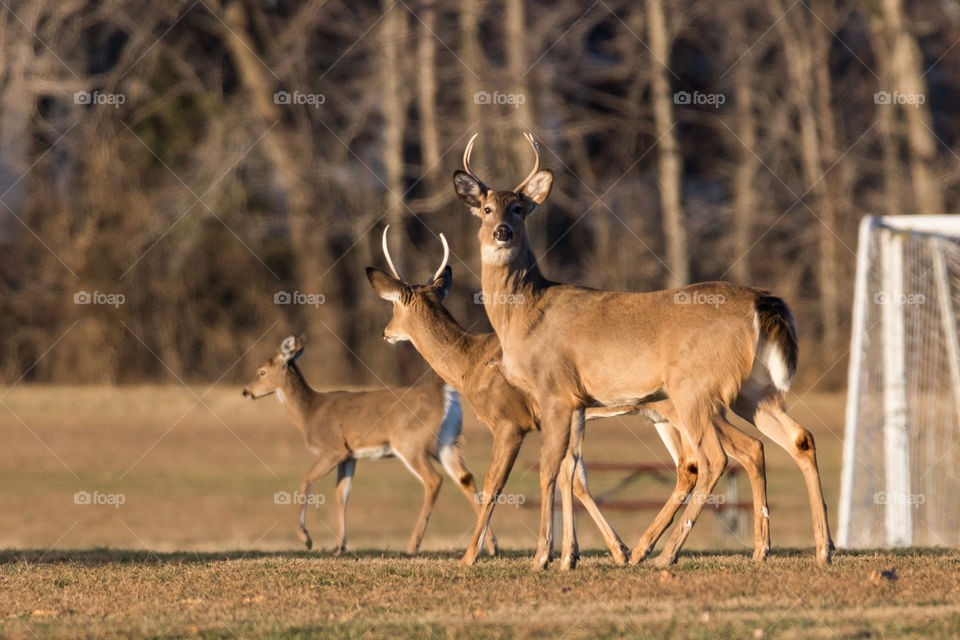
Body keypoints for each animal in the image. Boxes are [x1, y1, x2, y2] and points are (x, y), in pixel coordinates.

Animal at [242, 335, 498, 557]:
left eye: (262, 371)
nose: (246, 391)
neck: (310, 412)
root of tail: (445, 395)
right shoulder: (349, 456)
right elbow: (342, 494)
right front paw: (339, 547)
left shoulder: (333, 448)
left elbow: (307, 481)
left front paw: (306, 538)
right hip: (446, 442)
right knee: (466, 478)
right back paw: (491, 546)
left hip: (410, 444)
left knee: (434, 480)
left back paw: (412, 546)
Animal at [367, 226, 772, 567]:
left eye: (393, 306)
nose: (385, 333)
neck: (470, 363)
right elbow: (574, 478)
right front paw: (608, 551)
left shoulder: (510, 421)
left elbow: (495, 484)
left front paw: (470, 557)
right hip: (664, 415)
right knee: (697, 463)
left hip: (681, 409)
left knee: (718, 456)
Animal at [451, 132, 833, 570]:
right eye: (486, 208)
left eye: (518, 208)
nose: (501, 232)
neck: (526, 312)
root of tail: (760, 302)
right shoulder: (578, 402)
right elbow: (569, 469)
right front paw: (566, 557)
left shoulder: (555, 391)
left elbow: (548, 469)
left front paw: (542, 557)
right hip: (752, 390)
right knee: (794, 438)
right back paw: (809, 548)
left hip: (695, 389)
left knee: (718, 457)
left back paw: (667, 554)